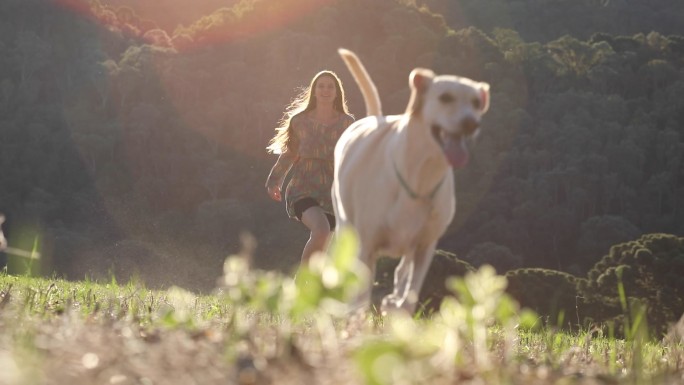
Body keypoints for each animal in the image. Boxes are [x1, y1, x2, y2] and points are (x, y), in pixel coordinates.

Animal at [332, 47, 488, 312]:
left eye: (476, 103)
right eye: (445, 97)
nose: (472, 123)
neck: (420, 177)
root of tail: (375, 117)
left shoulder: (425, 248)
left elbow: (410, 293)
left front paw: (397, 306)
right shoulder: (367, 246)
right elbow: (361, 294)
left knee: (403, 269)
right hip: (346, 226)